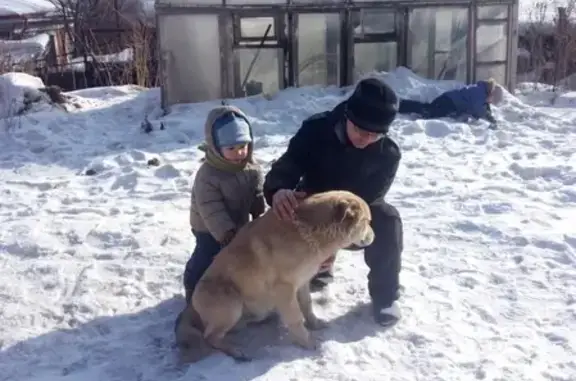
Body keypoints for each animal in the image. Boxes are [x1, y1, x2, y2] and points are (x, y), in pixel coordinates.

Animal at [173, 189, 376, 360]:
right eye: (367, 222)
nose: (374, 237)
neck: (309, 229)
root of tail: (190, 307)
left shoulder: (302, 283)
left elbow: (307, 306)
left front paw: (315, 324)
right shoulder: (285, 289)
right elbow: (295, 318)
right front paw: (308, 342)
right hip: (232, 303)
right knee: (209, 336)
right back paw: (236, 351)